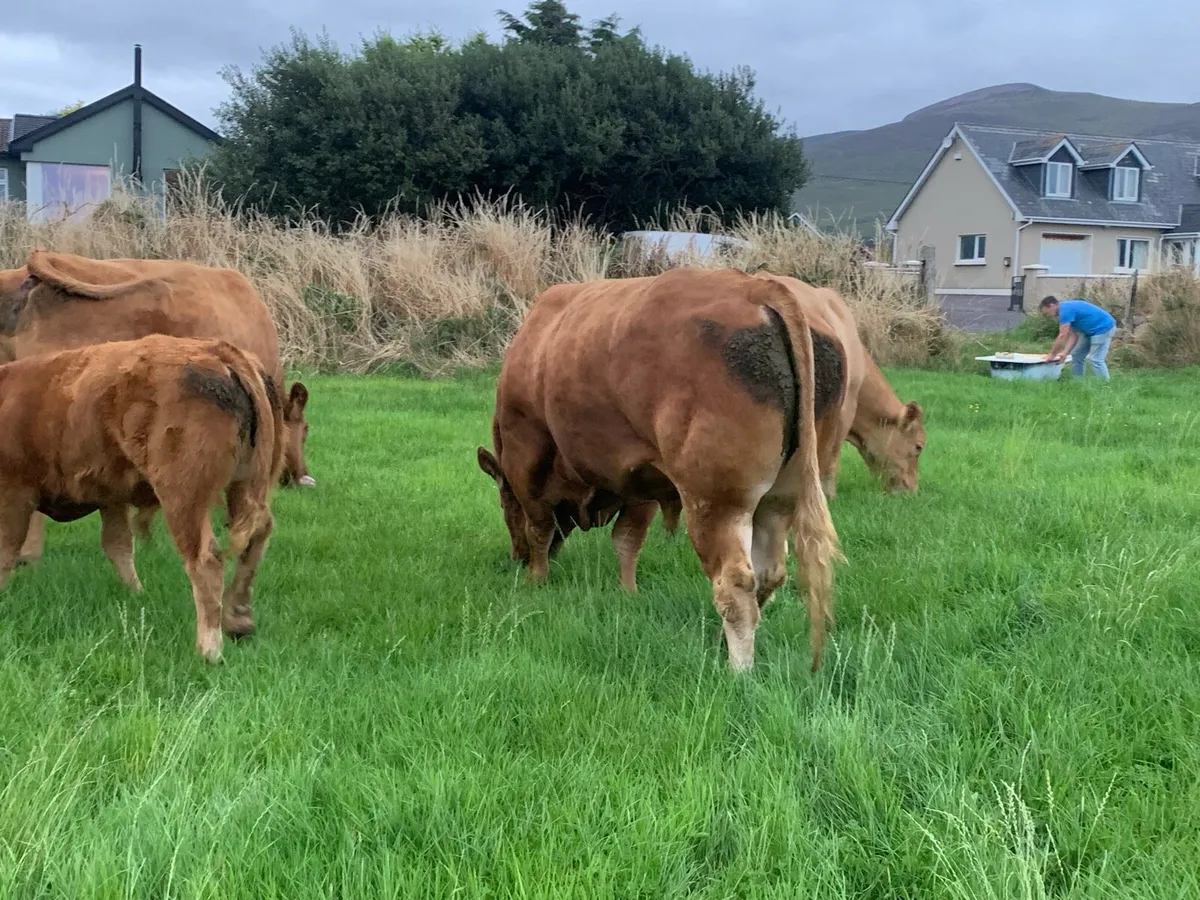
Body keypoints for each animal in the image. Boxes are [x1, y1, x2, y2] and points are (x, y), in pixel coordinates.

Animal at [0, 334, 285, 663]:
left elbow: (7, 549)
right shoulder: (111, 498)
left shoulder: (15, 493)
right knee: (256, 538)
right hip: (248, 486)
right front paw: (137, 594)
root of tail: (219, 352)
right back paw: (238, 620)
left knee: (206, 560)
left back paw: (208, 650)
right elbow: (118, 545)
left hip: (183, 498)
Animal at [476, 267, 847, 673]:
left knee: (735, 584)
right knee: (769, 573)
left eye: (502, 504)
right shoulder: (641, 478)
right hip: (779, 498)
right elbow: (627, 540)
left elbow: (540, 527)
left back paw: (738, 670)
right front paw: (628, 593)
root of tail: (756, 288)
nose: (517, 558)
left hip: (714, 500)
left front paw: (536, 580)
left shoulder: (525, 454)